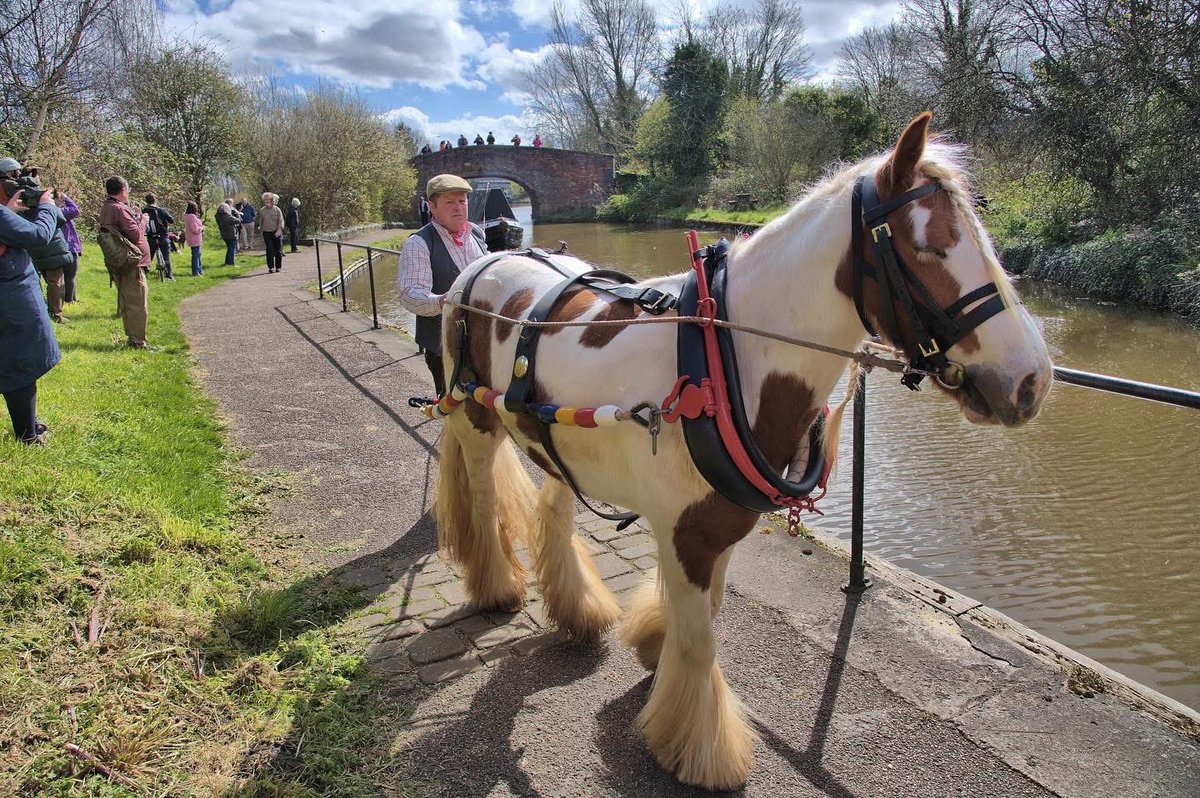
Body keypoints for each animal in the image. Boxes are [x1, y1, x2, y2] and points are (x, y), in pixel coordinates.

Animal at [432, 113, 1053, 790]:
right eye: (930, 246)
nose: (1032, 379)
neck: (725, 357)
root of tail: (489, 260)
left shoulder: (719, 524)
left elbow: (707, 615)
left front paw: (658, 650)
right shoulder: (688, 533)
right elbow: (702, 642)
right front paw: (699, 747)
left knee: (555, 505)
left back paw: (578, 608)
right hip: (476, 422)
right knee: (484, 493)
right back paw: (496, 585)